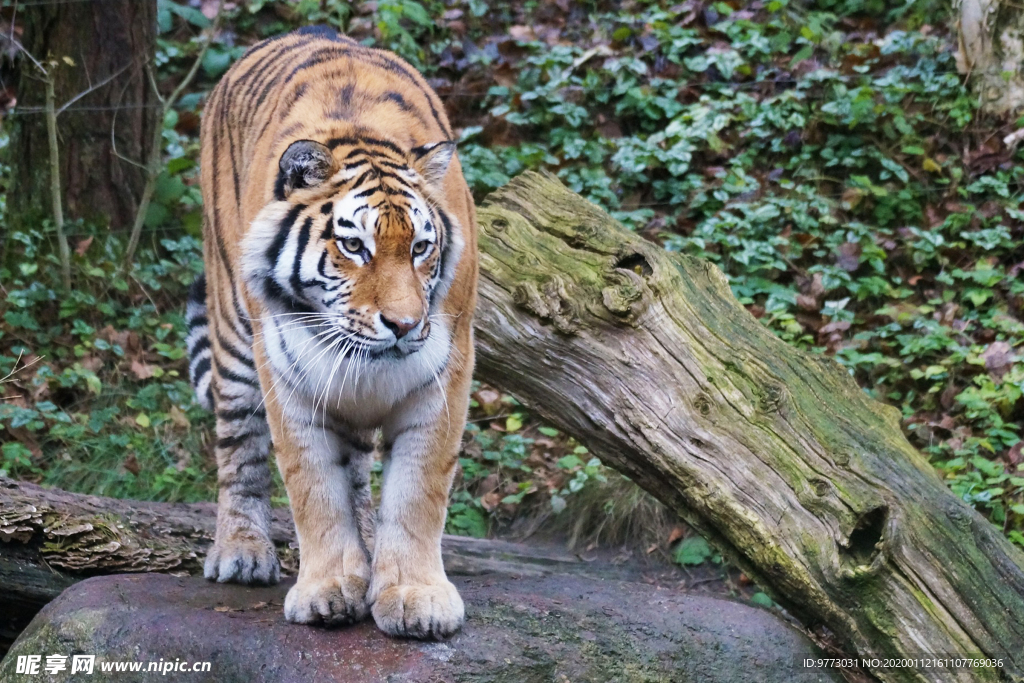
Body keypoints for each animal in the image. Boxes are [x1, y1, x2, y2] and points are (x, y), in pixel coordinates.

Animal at [184, 24, 477, 639]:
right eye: (354, 245)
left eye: (421, 247)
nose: (404, 325)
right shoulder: (286, 377)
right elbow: (312, 488)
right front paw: (327, 590)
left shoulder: (445, 373)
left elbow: (417, 491)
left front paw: (414, 597)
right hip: (233, 335)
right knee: (238, 450)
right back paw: (241, 552)